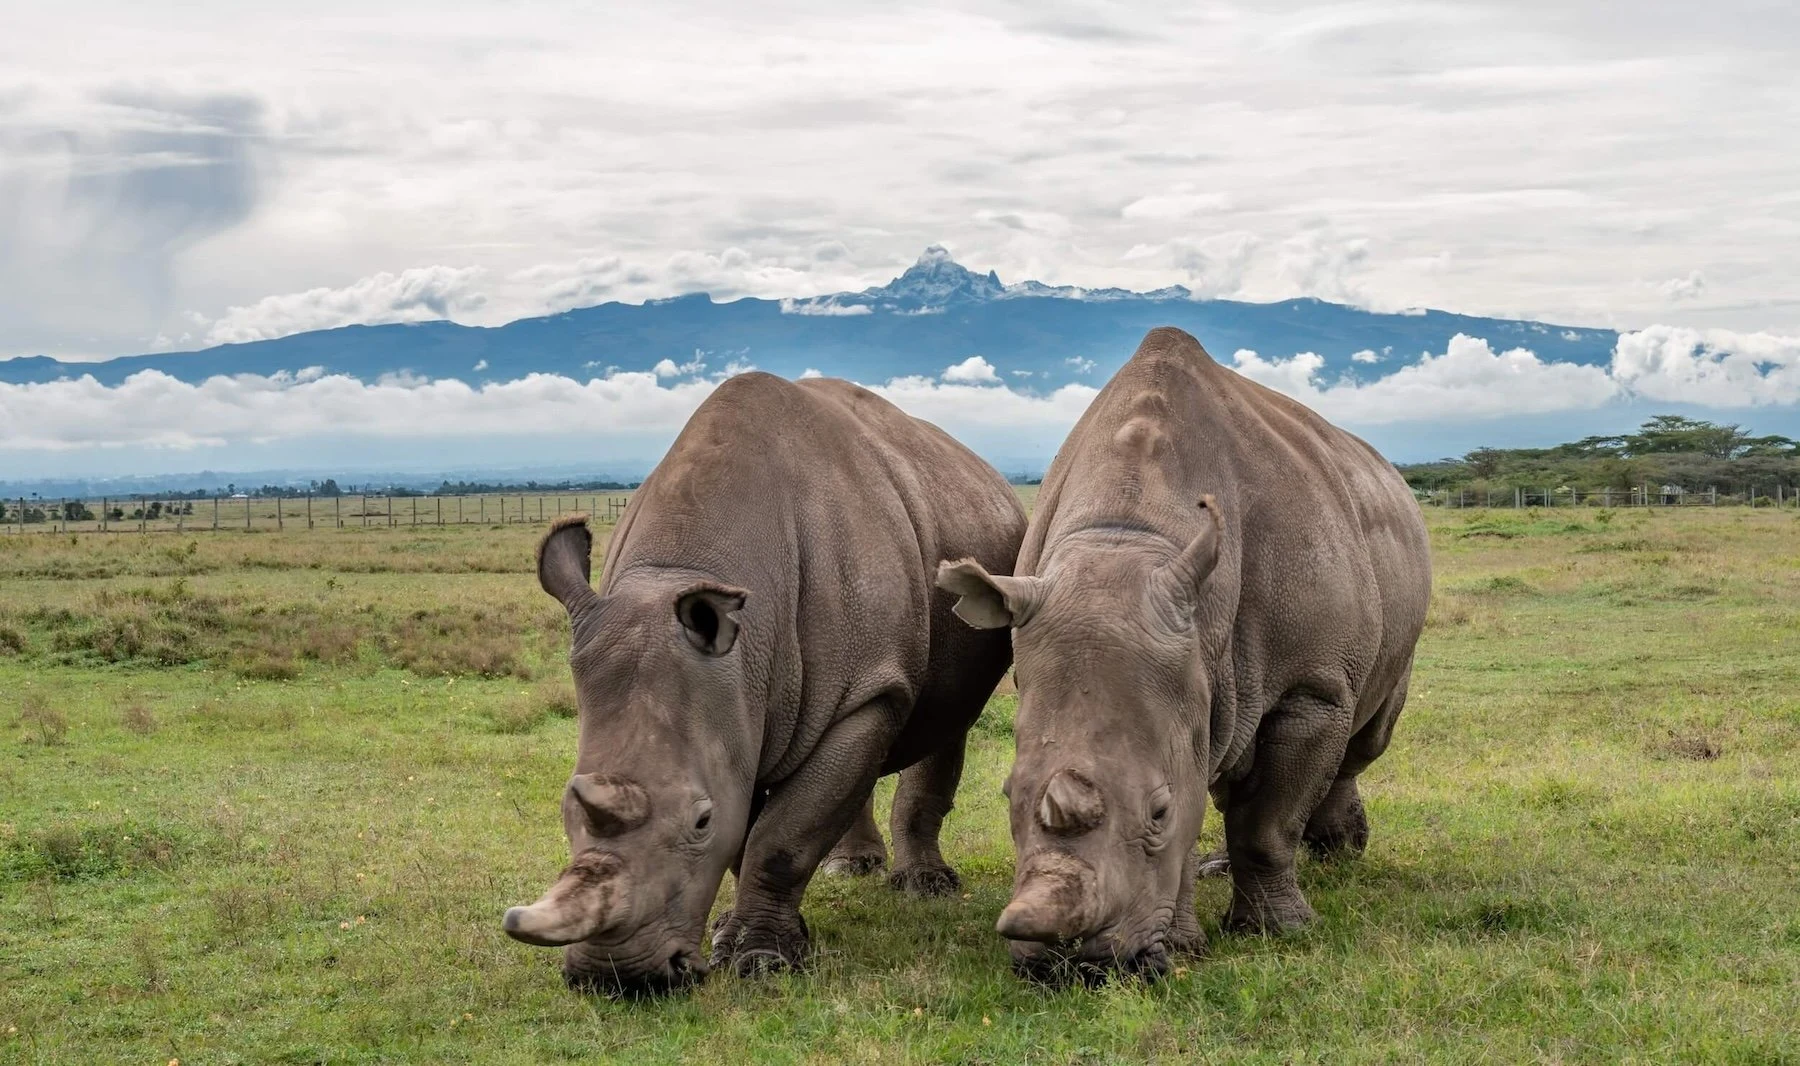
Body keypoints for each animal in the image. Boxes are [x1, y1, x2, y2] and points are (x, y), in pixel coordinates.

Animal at [503, 372, 1025, 993]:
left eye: (700, 820)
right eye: (566, 808)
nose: (617, 978)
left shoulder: (863, 689)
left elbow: (780, 835)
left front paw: (762, 962)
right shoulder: (734, 703)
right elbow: (752, 828)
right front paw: (742, 937)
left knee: (943, 720)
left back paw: (924, 889)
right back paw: (850, 869)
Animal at [937, 327, 1430, 980]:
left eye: (1158, 812)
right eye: (1007, 796)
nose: (1066, 965)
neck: (1127, 536)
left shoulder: (1313, 687)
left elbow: (1266, 823)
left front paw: (1281, 930)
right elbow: (1201, 791)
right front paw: (1184, 945)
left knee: (1363, 739)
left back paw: (1337, 854)